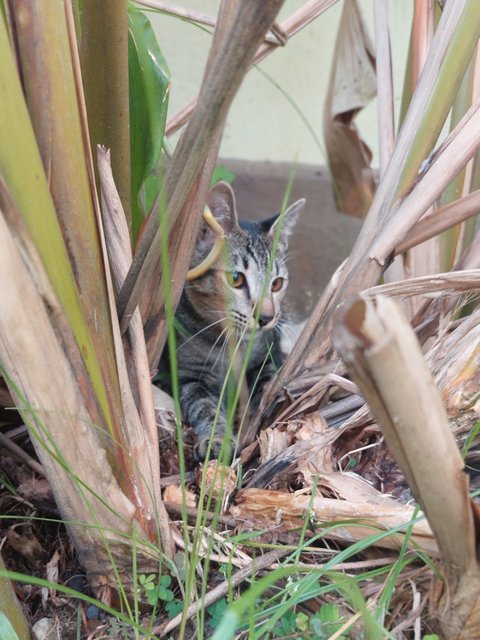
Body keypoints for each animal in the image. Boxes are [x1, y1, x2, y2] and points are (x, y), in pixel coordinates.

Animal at [172, 181, 304, 460]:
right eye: (236, 279)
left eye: (277, 284)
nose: (266, 317)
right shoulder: (188, 376)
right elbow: (204, 407)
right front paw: (216, 438)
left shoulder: (266, 357)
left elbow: (266, 385)